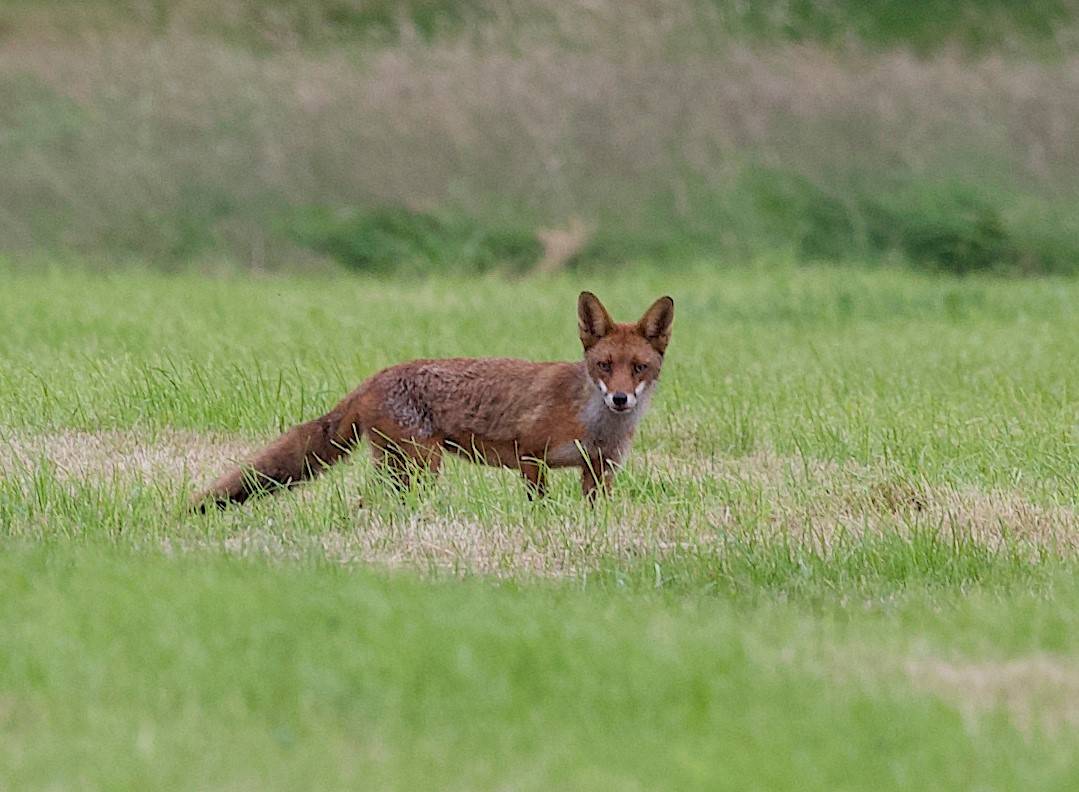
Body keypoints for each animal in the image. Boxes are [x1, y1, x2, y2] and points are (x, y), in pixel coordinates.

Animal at [191, 291, 673, 510]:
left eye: (639, 367)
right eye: (604, 365)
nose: (620, 399)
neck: (594, 424)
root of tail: (375, 376)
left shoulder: (601, 471)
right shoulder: (530, 457)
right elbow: (538, 504)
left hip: (402, 470)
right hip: (424, 466)